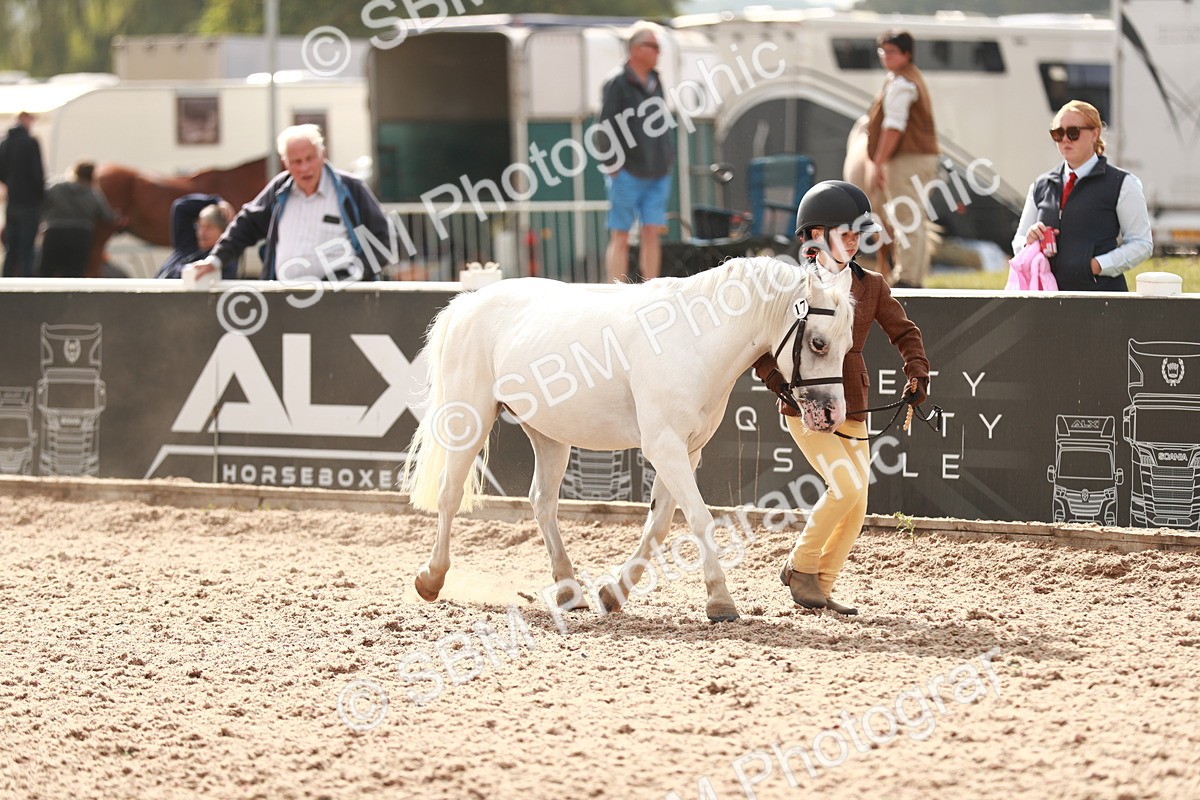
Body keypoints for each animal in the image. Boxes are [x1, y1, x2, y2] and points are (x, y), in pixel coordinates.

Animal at [400, 256, 857, 622]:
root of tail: (468, 303)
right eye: (818, 342)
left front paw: (613, 593)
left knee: (542, 502)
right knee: (449, 494)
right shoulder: (664, 446)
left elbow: (658, 524)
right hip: (470, 417)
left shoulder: (686, 451)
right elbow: (699, 519)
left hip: (548, 434)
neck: (695, 342)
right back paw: (431, 578)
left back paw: (569, 590)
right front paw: (720, 601)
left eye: (848, 343)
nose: (833, 415)